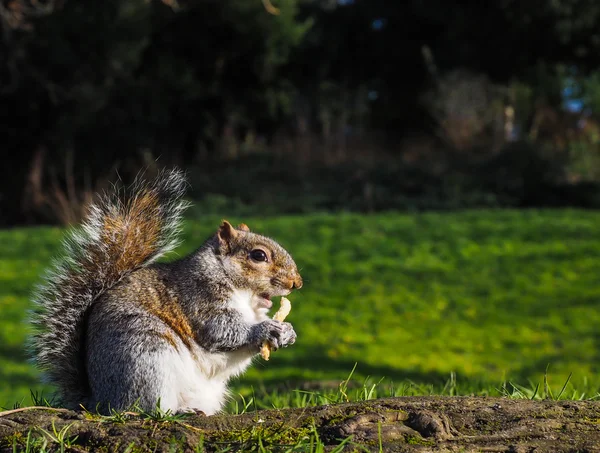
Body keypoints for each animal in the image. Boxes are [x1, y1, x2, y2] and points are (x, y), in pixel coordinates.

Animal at [28, 168, 302, 414]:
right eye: (258, 256)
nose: (296, 283)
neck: (244, 295)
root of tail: (99, 402)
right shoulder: (200, 298)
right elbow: (222, 330)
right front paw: (265, 329)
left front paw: (287, 331)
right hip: (146, 355)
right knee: (146, 408)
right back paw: (177, 412)